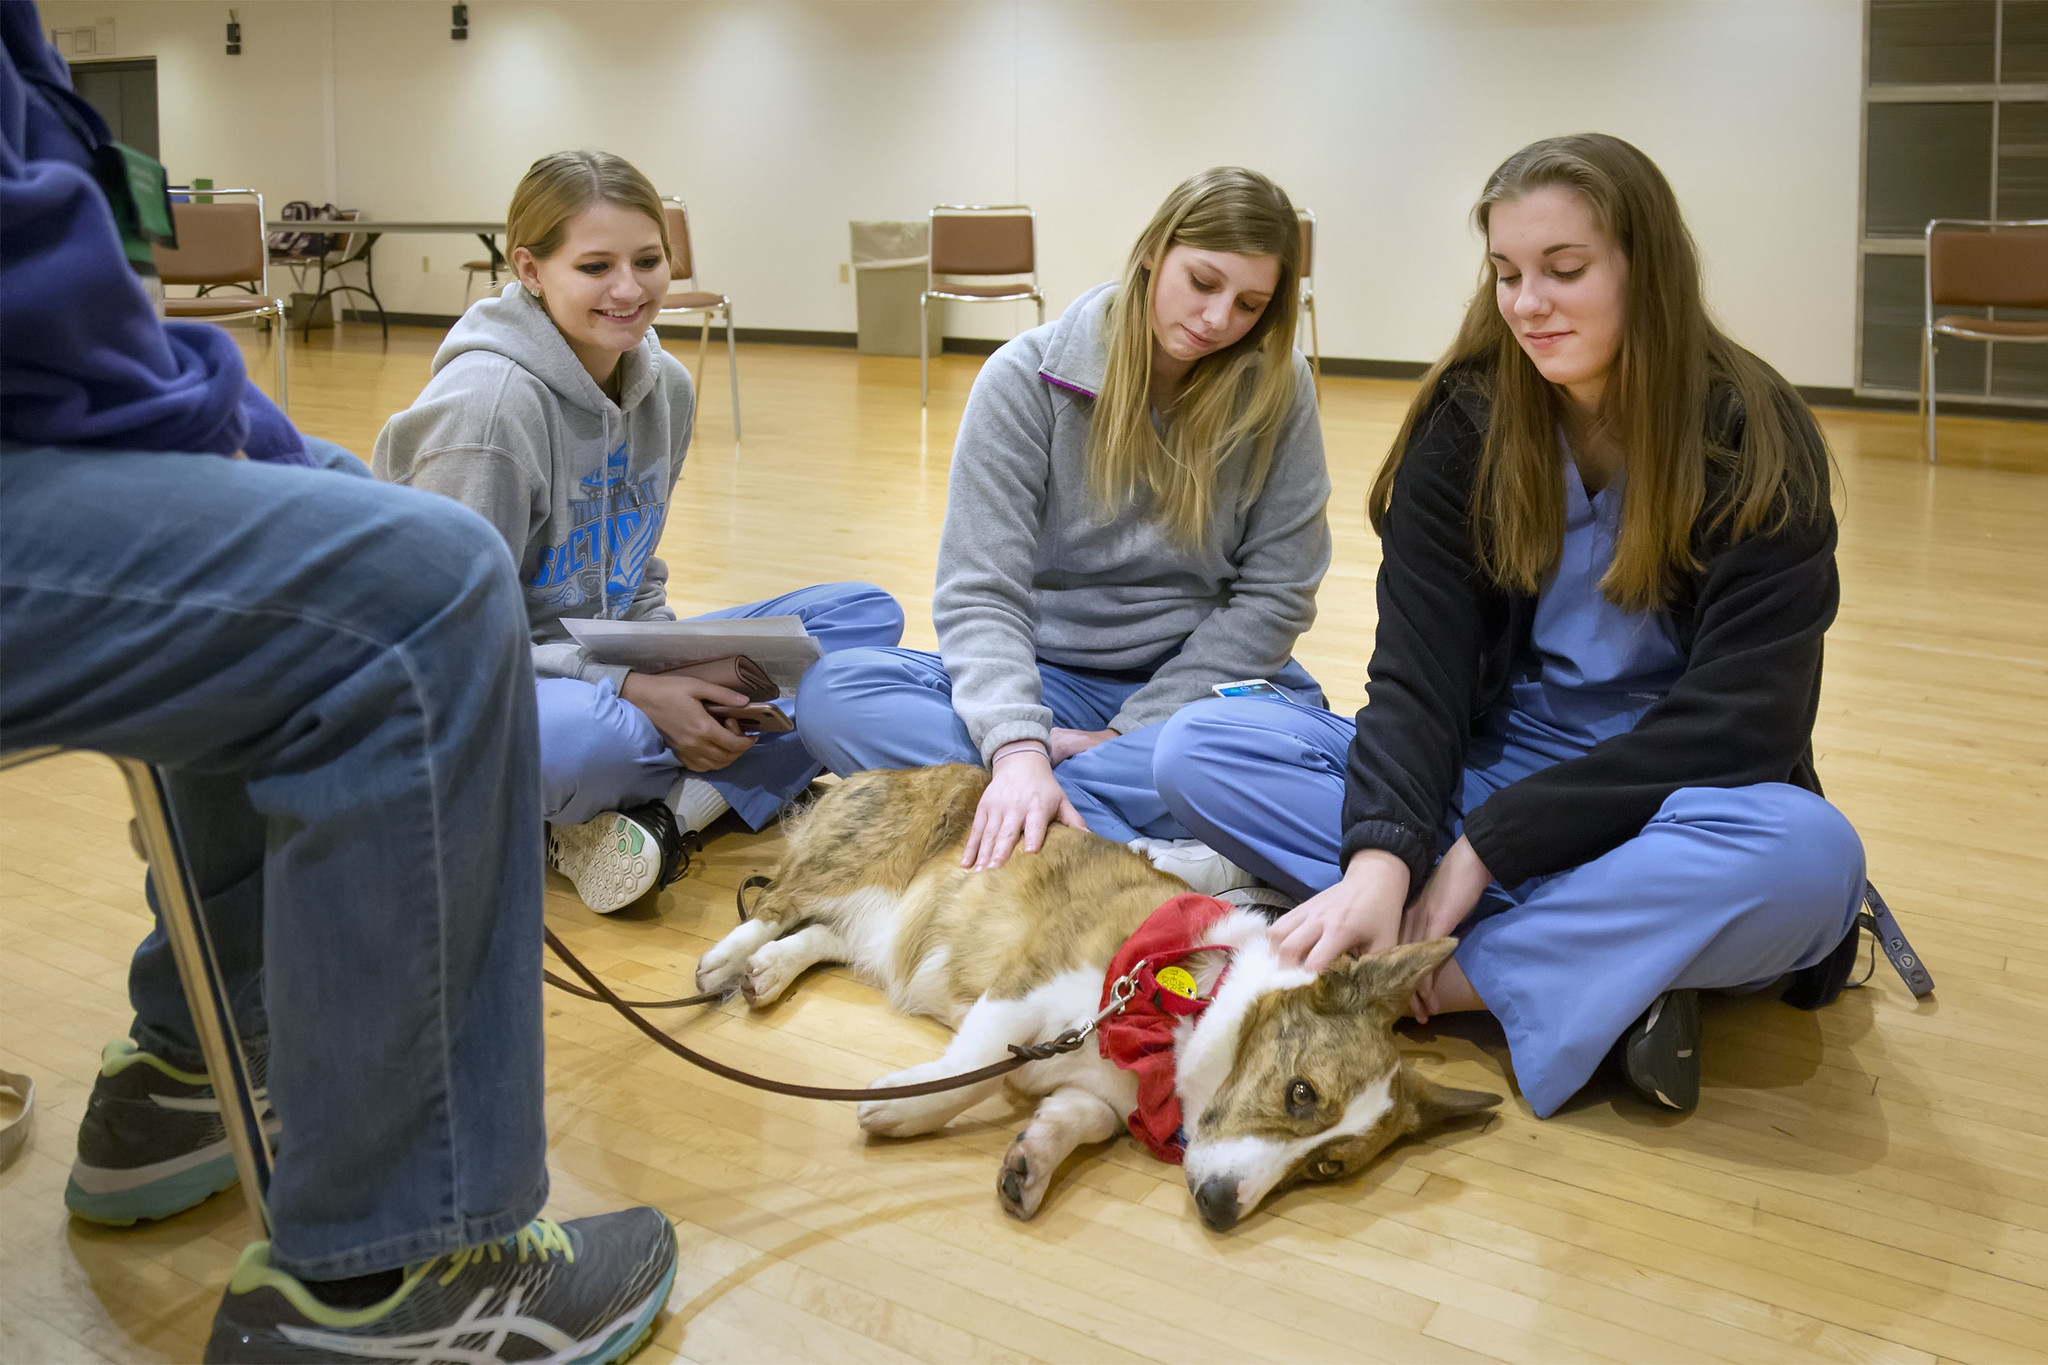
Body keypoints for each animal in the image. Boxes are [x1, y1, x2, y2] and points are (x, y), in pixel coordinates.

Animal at [696, 769, 1499, 1227]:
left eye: (1328, 1168)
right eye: (1301, 1094)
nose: (1219, 1212)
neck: (1193, 1009)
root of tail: (867, 772)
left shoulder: (1098, 1094)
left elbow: (1072, 1120)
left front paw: (1030, 1165)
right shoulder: (1026, 991)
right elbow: (969, 1071)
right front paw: (901, 1105)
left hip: (880, 921)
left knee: (824, 936)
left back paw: (767, 971)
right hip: (858, 863)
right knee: (781, 903)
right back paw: (726, 961)